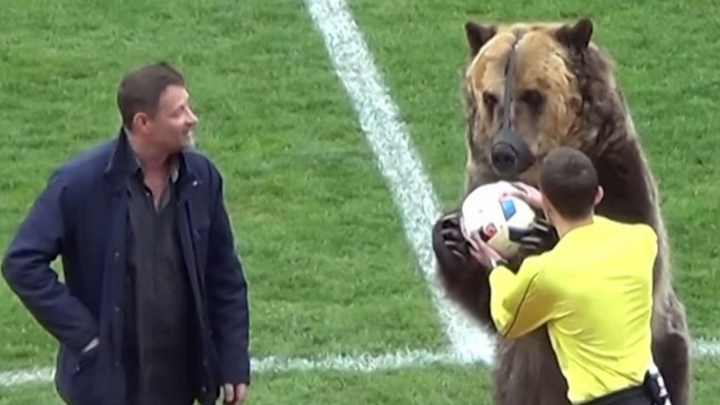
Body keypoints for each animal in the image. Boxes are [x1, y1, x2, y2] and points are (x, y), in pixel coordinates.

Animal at [432, 18, 692, 405]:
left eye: (532, 95)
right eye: (490, 96)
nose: (503, 151)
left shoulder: (618, 174)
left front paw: (545, 238)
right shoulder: (480, 178)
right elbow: (494, 305)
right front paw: (449, 239)